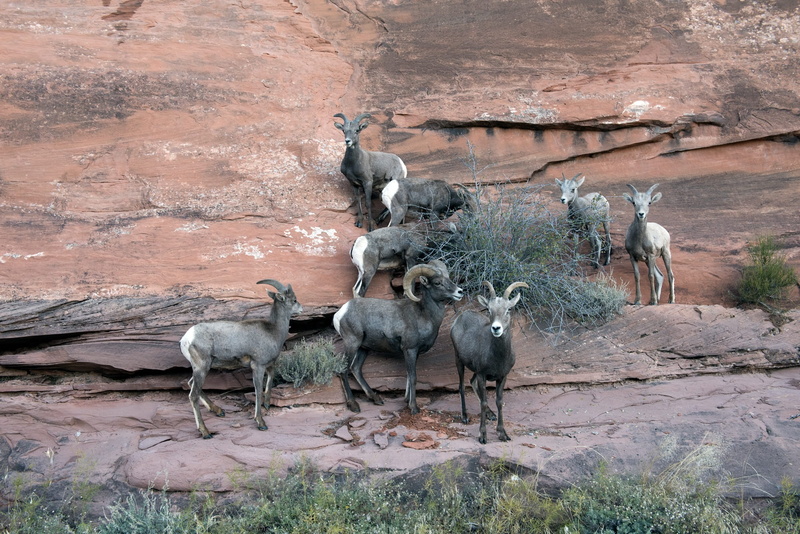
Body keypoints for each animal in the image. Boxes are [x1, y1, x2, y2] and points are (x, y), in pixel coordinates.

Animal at [179, 279, 302, 438]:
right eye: (294, 300)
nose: (301, 309)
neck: (273, 331)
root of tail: (186, 339)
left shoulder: (269, 365)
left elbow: (270, 380)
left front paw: (267, 404)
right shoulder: (258, 366)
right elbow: (258, 391)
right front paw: (261, 423)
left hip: (202, 368)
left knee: (190, 384)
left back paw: (219, 411)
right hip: (202, 368)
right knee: (193, 395)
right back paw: (205, 432)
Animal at [333, 260, 464, 414]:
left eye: (448, 279)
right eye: (437, 283)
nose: (460, 292)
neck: (424, 315)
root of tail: (341, 313)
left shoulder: (413, 353)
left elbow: (408, 375)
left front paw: (406, 400)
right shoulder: (410, 350)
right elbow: (413, 377)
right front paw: (413, 407)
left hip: (363, 348)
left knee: (356, 369)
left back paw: (376, 399)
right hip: (352, 344)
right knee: (344, 370)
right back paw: (353, 405)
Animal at [450, 281, 528, 444]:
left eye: (508, 309)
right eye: (489, 310)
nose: (496, 328)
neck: (497, 357)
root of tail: (459, 318)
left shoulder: (502, 377)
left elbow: (499, 401)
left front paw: (502, 434)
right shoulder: (482, 375)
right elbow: (484, 402)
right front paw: (483, 436)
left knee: (471, 382)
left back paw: (491, 415)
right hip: (459, 361)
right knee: (462, 386)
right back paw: (465, 417)